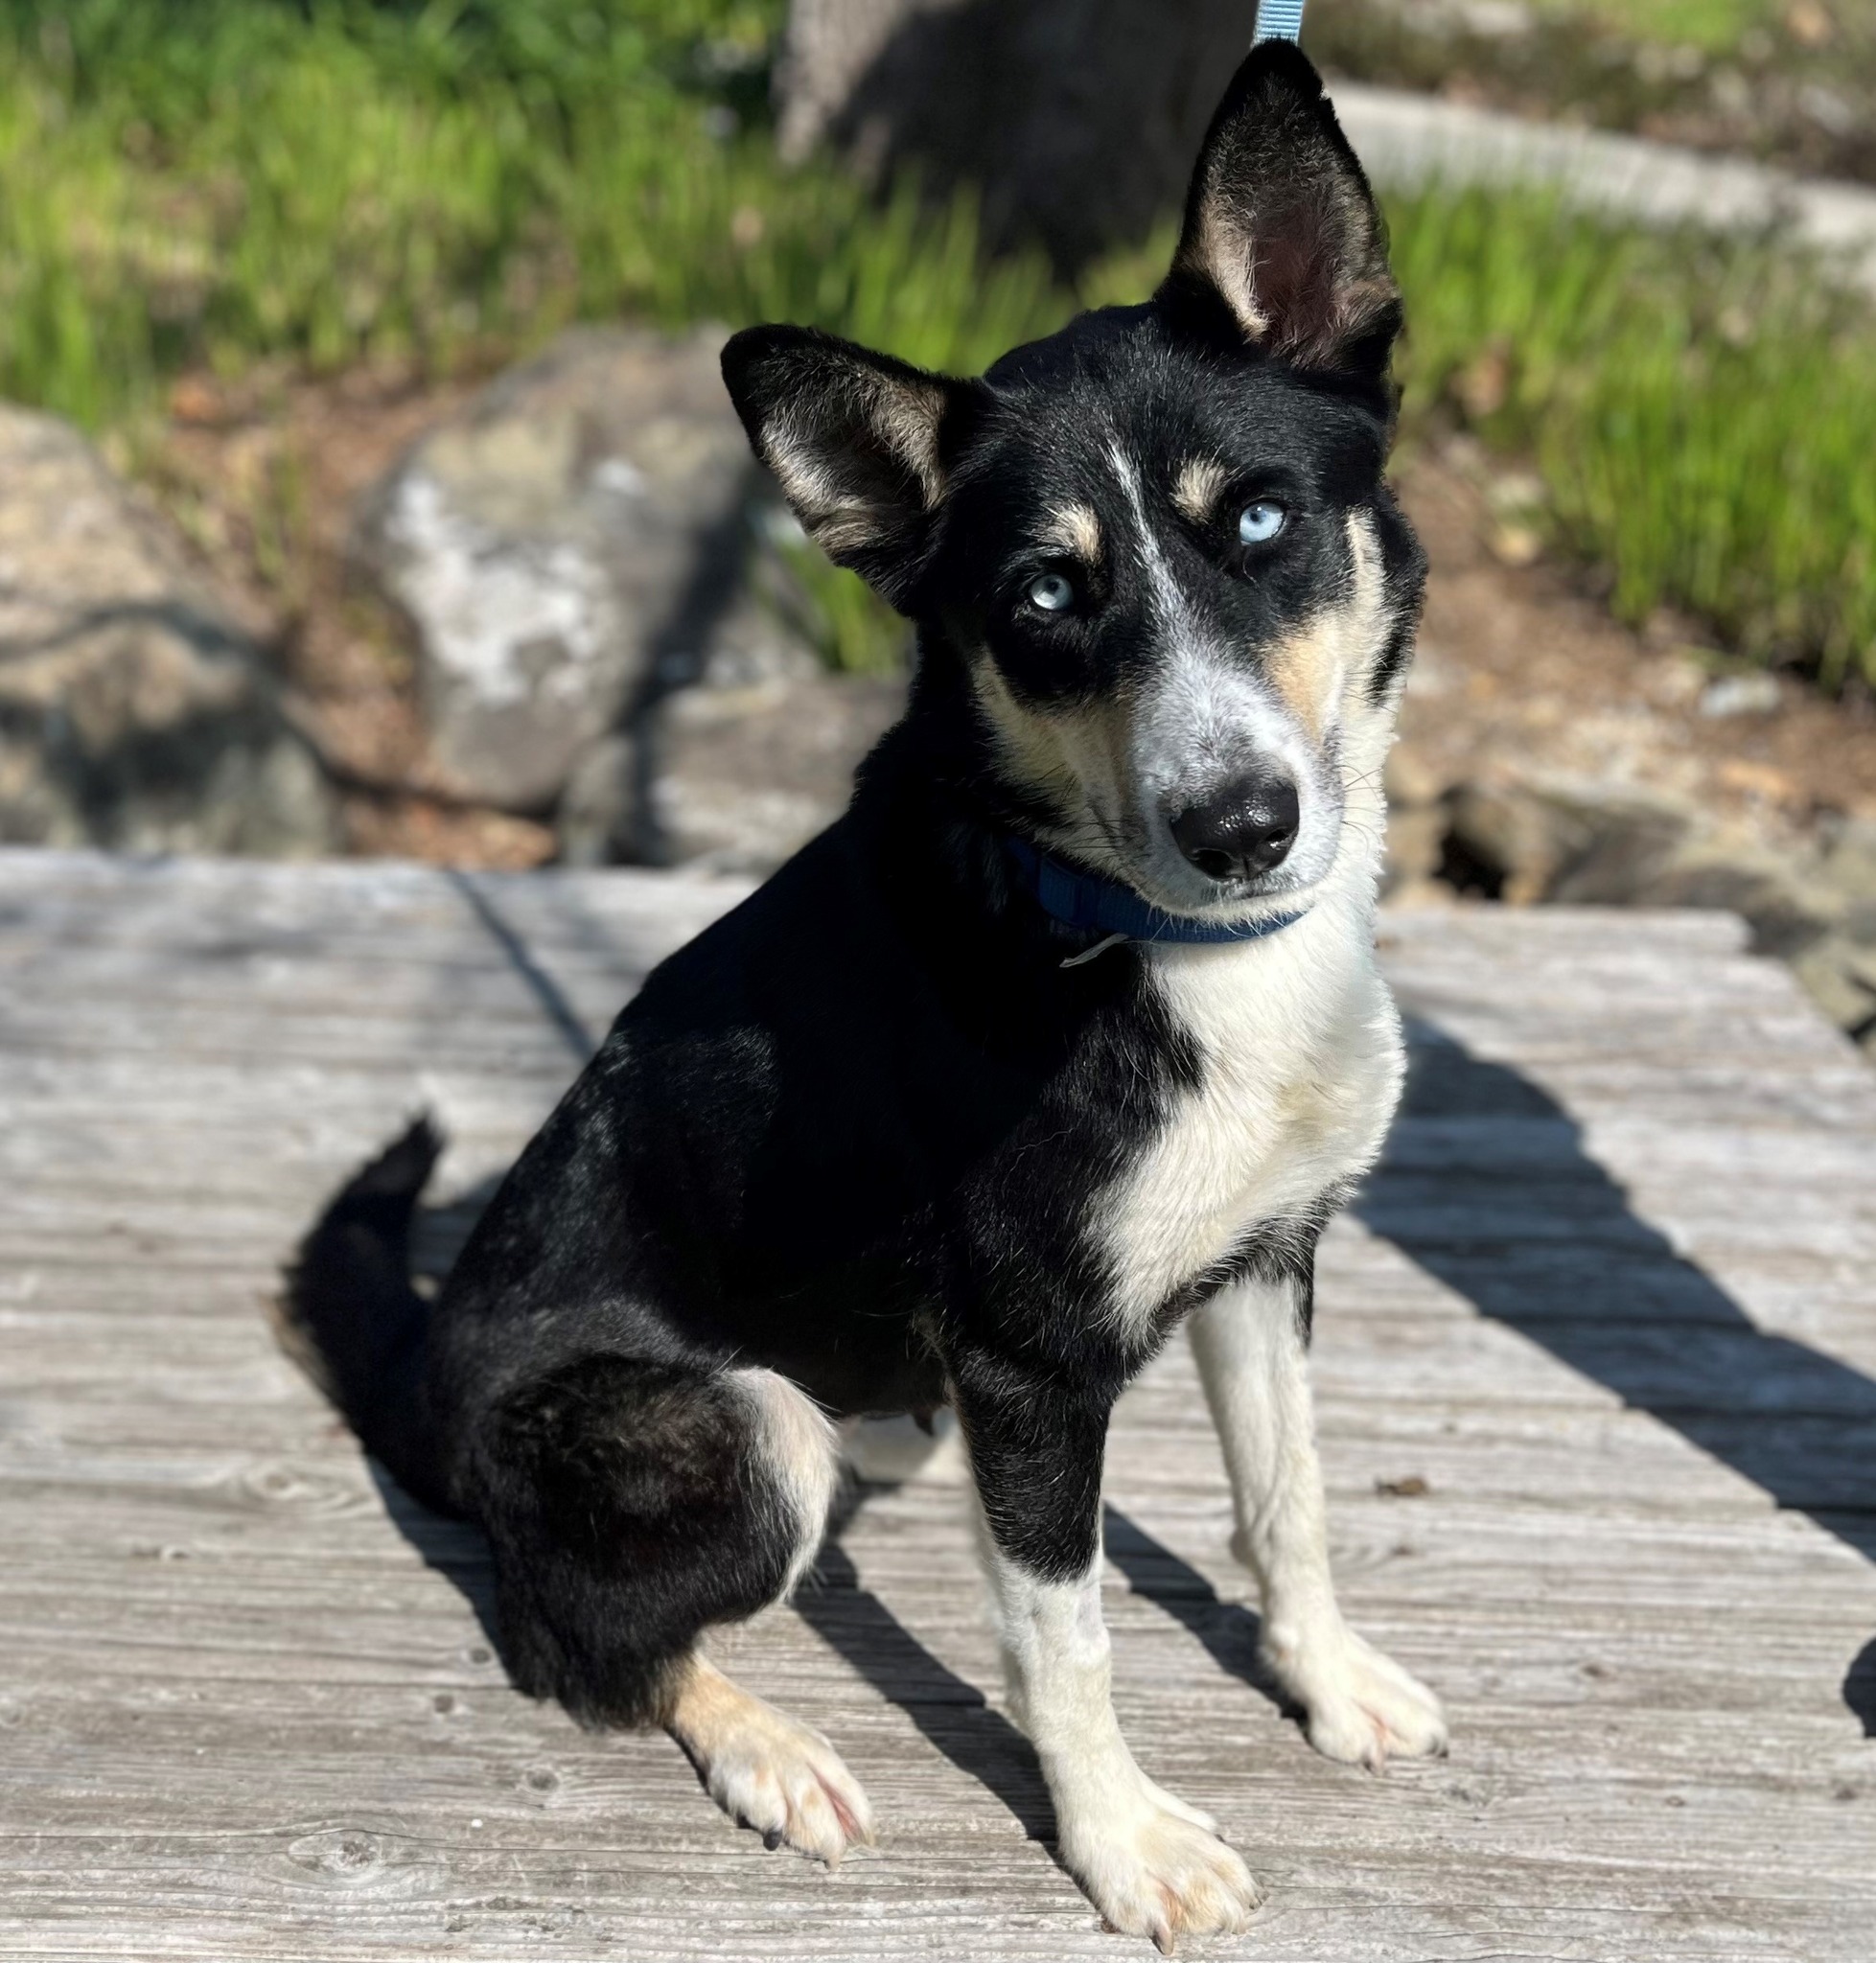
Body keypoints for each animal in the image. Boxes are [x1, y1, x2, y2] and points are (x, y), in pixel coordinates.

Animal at [286, 42, 1444, 1947]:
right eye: (1046, 594)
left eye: (1264, 519)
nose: (1241, 823)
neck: (1139, 935)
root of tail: (425, 1379)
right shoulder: (1031, 1362)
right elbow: (1067, 1638)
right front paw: (1121, 1843)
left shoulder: (1266, 1259)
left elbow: (1290, 1500)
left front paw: (1327, 1682)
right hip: (738, 1429)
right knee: (570, 1631)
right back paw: (769, 1743)